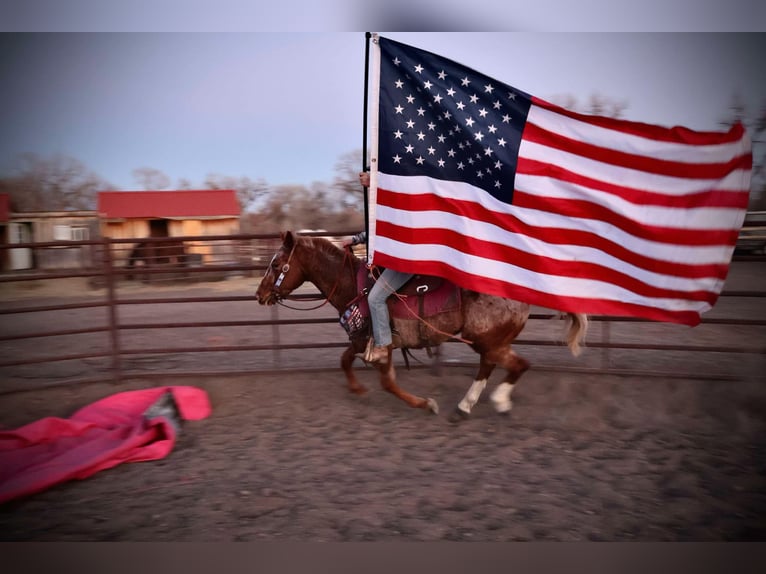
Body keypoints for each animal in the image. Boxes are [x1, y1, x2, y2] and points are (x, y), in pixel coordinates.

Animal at [255, 231, 592, 424]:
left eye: (276, 265)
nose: (259, 294)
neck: (354, 285)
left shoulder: (380, 346)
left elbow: (388, 384)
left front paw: (426, 404)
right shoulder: (361, 340)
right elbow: (344, 360)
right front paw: (357, 389)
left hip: (488, 339)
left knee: (516, 364)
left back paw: (495, 402)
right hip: (489, 340)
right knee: (491, 366)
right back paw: (465, 407)